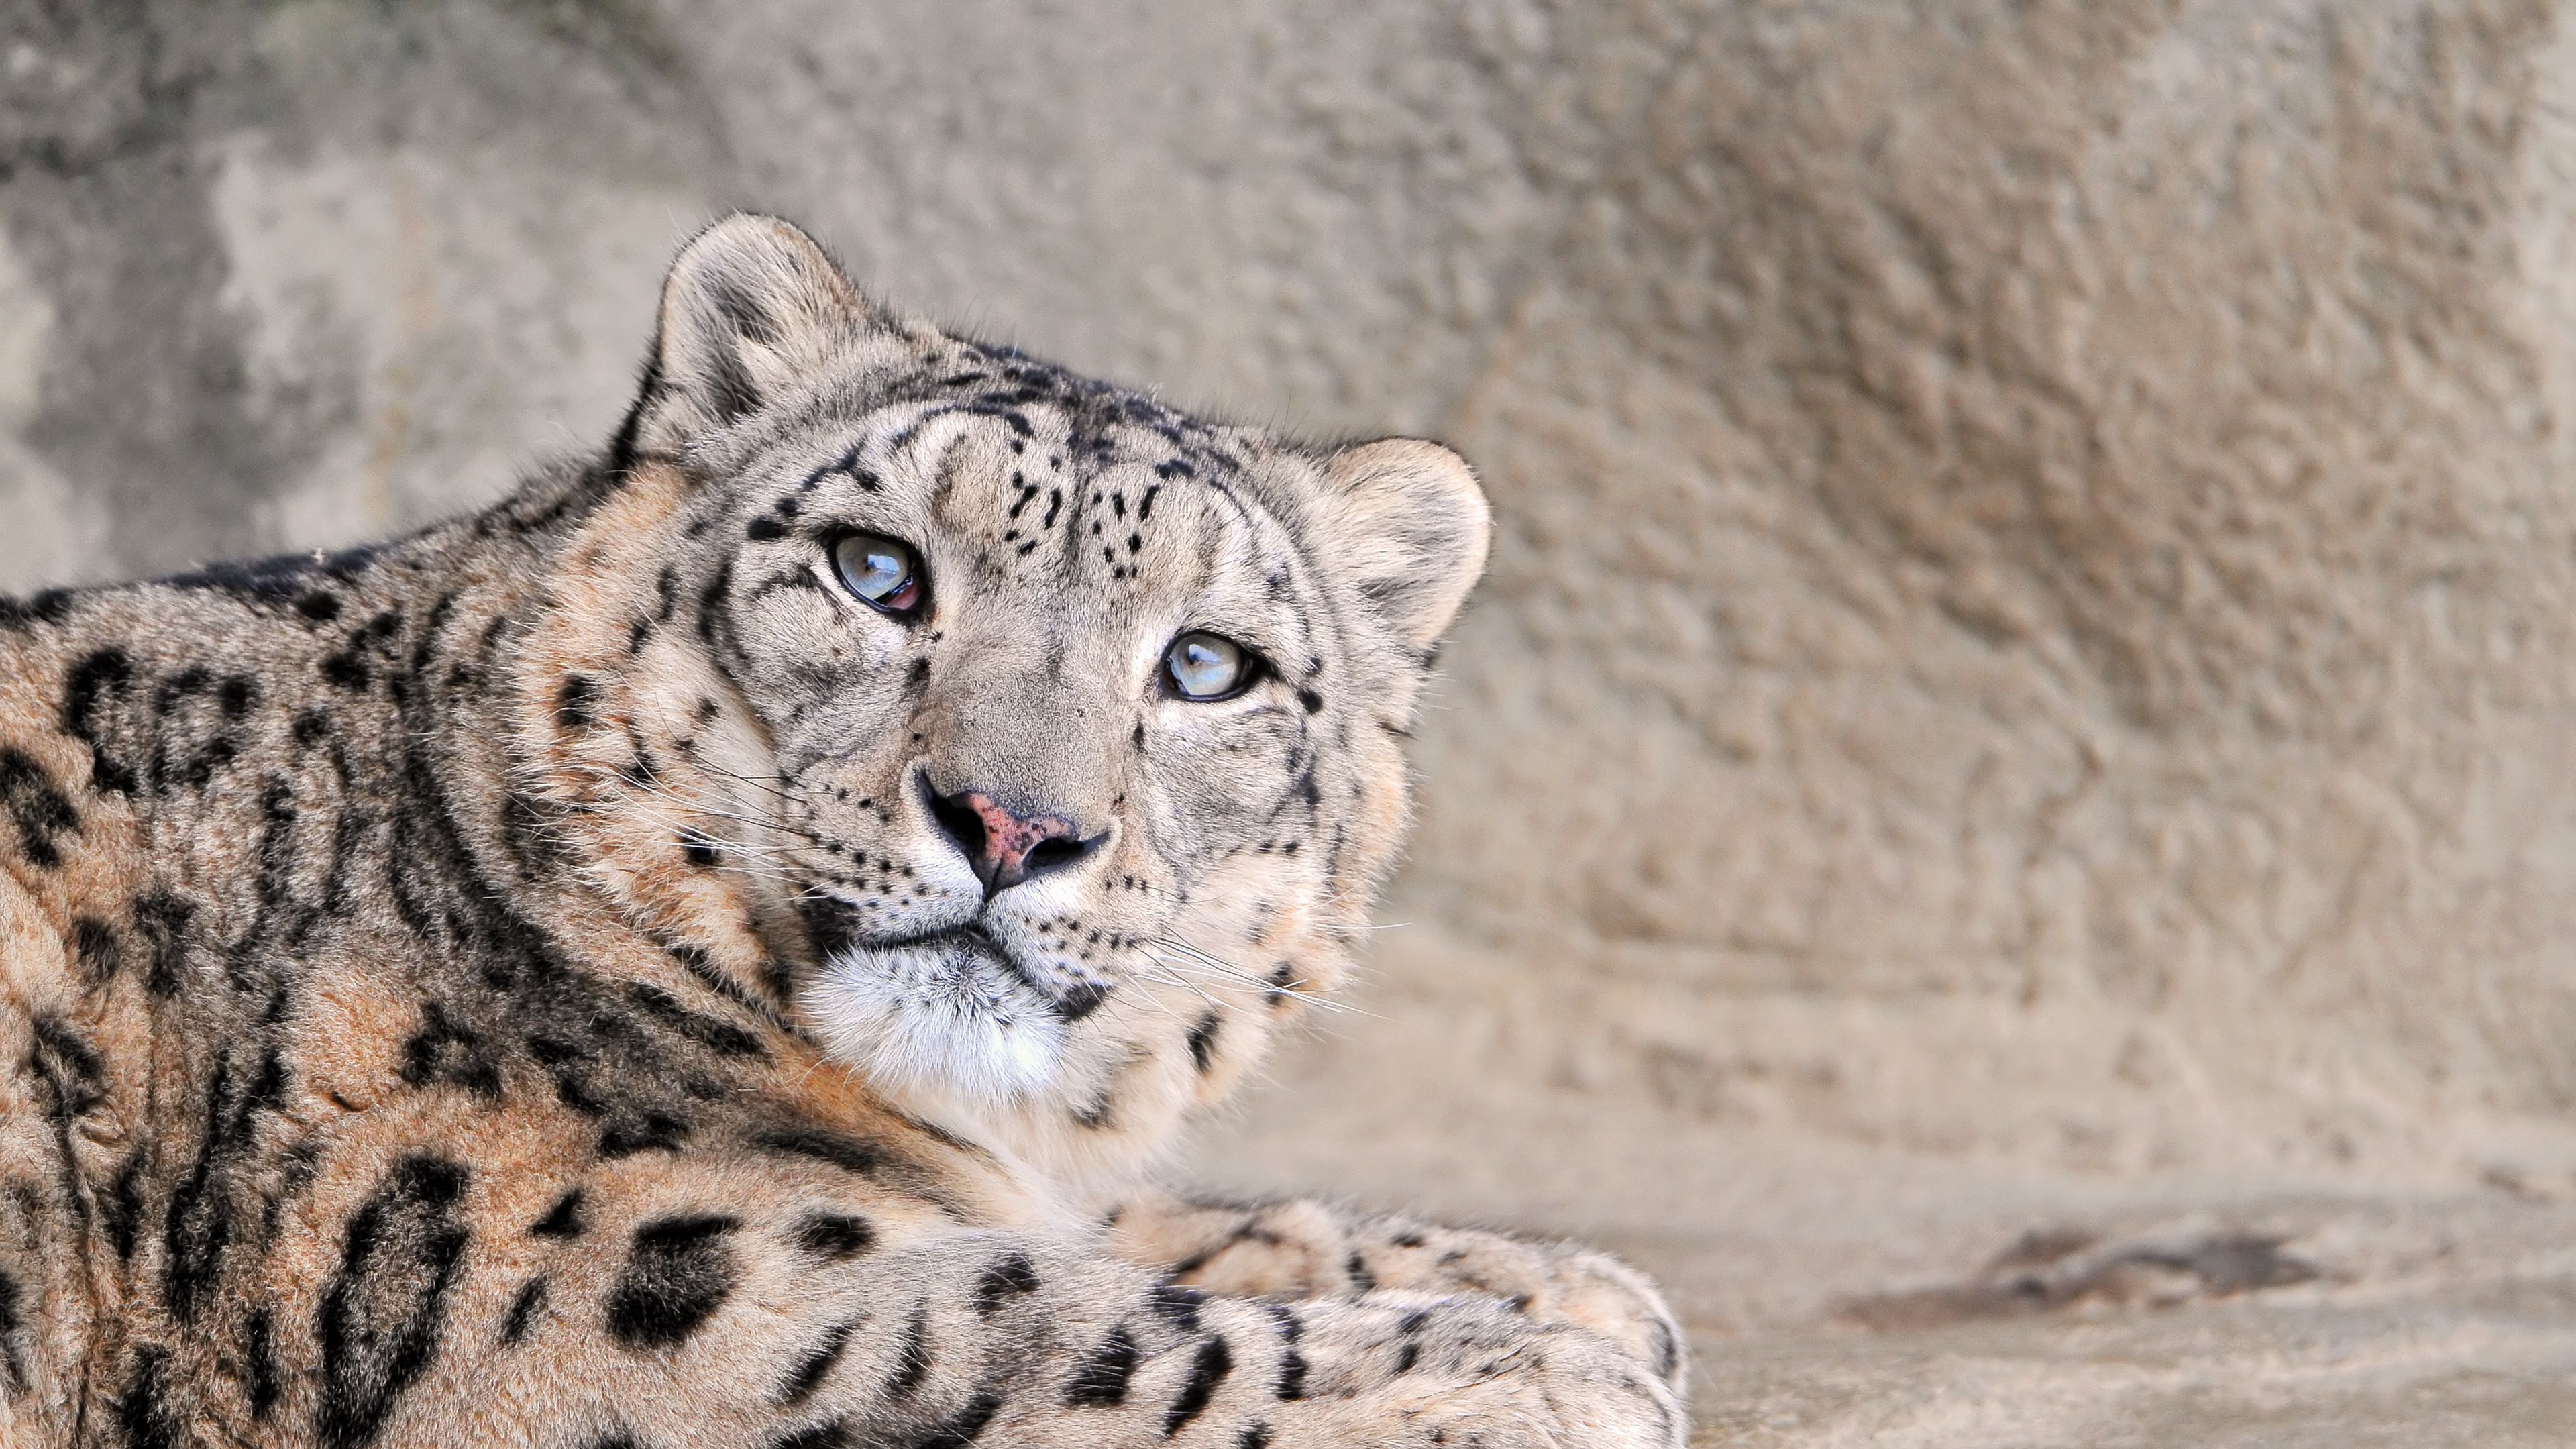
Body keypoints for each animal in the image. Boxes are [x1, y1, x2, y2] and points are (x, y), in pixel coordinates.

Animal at [0, 214, 1687, 1448]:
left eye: (1207, 665)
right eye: (877, 570)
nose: (1012, 823)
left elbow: (1135, 1234)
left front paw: (1566, 1288)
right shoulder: (621, 1296)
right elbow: (1045, 1331)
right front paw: (1545, 1374)